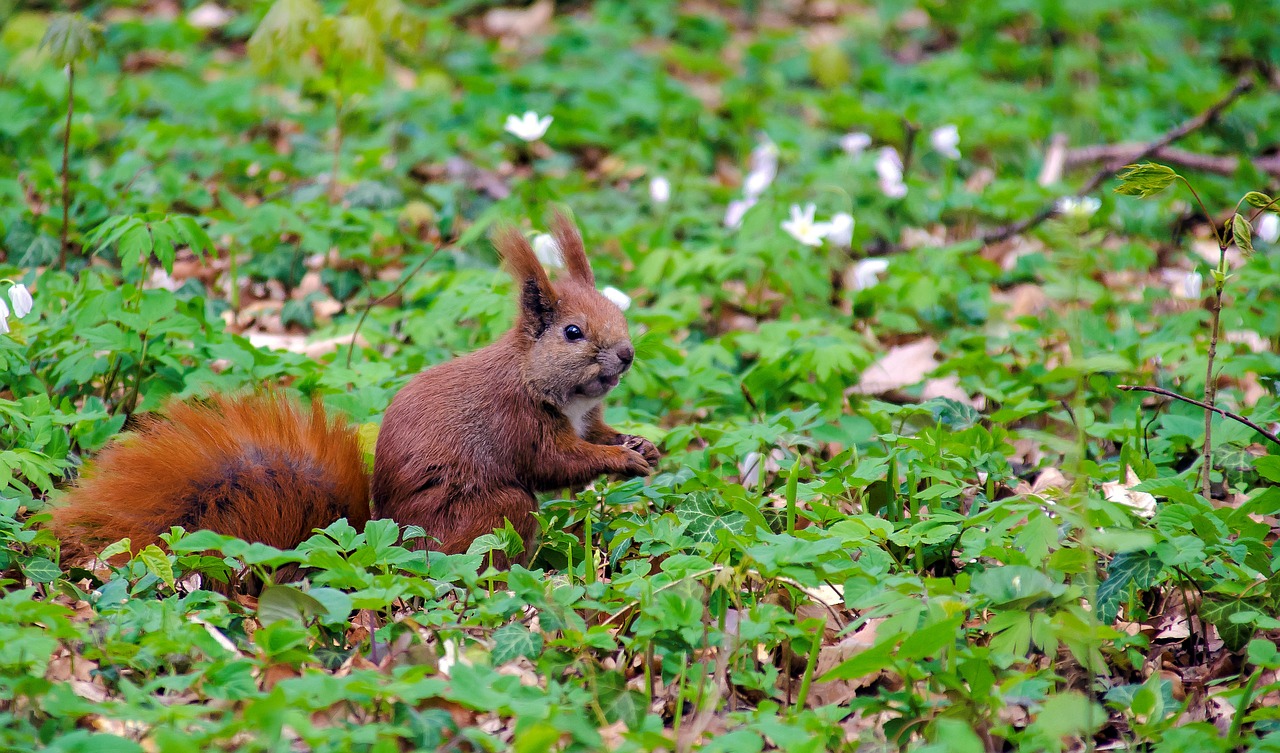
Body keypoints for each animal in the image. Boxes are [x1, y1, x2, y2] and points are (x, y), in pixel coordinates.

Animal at [52, 208, 660, 573]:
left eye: (617, 310)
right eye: (573, 332)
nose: (627, 355)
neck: (545, 381)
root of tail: (382, 536)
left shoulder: (587, 416)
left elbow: (597, 434)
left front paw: (641, 445)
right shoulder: (521, 422)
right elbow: (556, 462)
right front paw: (620, 460)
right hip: (491, 511)